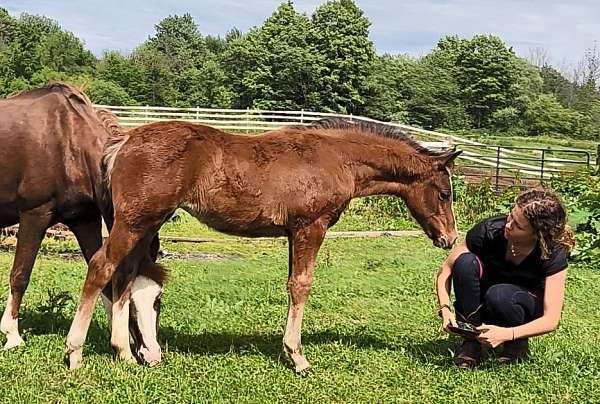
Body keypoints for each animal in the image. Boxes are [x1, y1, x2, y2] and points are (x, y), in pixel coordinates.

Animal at [0, 82, 164, 360]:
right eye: (130, 301)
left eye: (157, 300)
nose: (152, 355)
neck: (67, 139)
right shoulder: (35, 215)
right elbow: (20, 275)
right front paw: (12, 336)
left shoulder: (85, 220)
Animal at [64, 117, 460, 372]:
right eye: (444, 193)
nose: (449, 238)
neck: (336, 158)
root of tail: (124, 142)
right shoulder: (310, 227)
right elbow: (301, 285)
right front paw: (297, 357)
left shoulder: (293, 233)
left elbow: (292, 285)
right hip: (134, 222)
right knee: (101, 266)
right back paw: (74, 352)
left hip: (144, 224)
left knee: (125, 275)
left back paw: (124, 353)